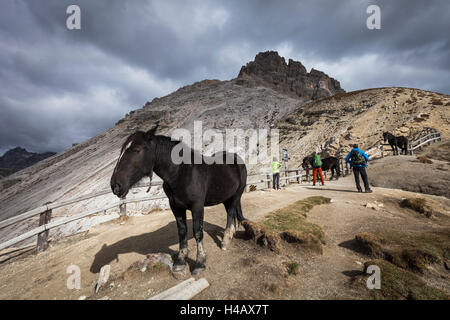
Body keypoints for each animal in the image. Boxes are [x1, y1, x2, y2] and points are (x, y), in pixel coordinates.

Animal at [111, 125, 248, 276]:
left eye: (137, 150)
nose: (115, 185)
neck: (180, 173)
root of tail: (237, 159)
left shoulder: (197, 206)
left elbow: (197, 232)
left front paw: (200, 263)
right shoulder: (176, 207)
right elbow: (182, 232)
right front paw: (180, 261)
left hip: (237, 194)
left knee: (230, 213)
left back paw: (225, 241)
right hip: (226, 197)